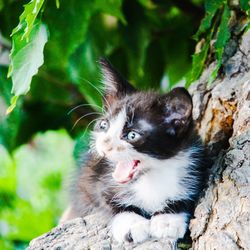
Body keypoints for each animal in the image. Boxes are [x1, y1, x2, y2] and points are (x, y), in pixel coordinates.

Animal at [61, 59, 208, 244]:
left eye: (132, 135)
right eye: (104, 125)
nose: (105, 144)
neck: (152, 176)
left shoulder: (196, 165)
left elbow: (187, 195)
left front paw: (168, 221)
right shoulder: (91, 179)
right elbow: (105, 198)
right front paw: (131, 224)